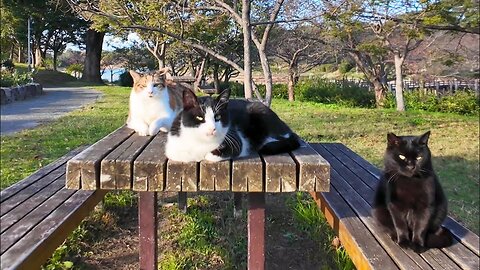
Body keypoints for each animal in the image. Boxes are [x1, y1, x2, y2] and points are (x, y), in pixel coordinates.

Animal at [165, 88, 300, 162]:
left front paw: (208, 154)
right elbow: (183, 154)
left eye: (218, 117)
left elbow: (213, 154)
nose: (212, 129)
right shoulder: (172, 147)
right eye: (199, 117)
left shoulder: (235, 139)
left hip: (260, 113)